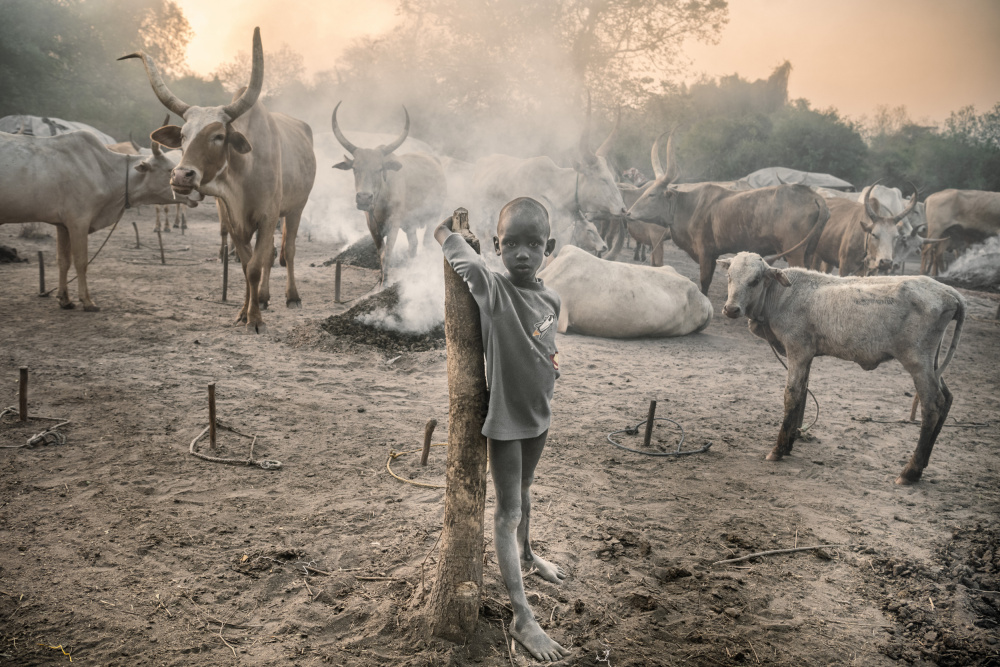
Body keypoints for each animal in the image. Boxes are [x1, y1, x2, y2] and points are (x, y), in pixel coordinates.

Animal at [0, 131, 186, 310]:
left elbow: (64, 261)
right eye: (170, 170)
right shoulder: (78, 222)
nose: (192, 190)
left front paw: (65, 300)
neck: (104, 171)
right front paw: (87, 301)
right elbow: (81, 261)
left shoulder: (63, 225)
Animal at [122, 28, 317, 333]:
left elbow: (255, 266)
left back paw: (292, 297)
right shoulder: (233, 219)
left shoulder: (268, 217)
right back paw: (263, 298)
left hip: (296, 207)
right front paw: (244, 312)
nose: (181, 175)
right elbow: (248, 266)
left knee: (289, 249)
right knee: (271, 254)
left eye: (219, 136)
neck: (243, 175)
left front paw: (255, 321)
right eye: (183, 135)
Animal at [330, 102, 447, 285]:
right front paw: (381, 279)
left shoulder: (394, 222)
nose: (364, 198)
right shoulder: (371, 224)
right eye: (355, 168)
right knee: (413, 244)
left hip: (433, 216)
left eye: (379, 169)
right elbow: (381, 252)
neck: (381, 200)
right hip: (410, 224)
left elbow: (388, 252)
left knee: (426, 243)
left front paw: (385, 282)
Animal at [627, 131, 829, 295]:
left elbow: (704, 282)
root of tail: (813, 195)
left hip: (795, 253)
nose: (628, 213)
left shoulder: (706, 252)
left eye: (652, 194)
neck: (689, 206)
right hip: (809, 252)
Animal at [718, 252, 965, 485]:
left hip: (917, 360)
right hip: (932, 361)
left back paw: (910, 472)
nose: (731, 309)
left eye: (755, 280)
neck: (781, 296)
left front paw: (778, 450)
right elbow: (803, 395)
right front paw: (789, 444)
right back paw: (922, 464)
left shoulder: (798, 349)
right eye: (729, 276)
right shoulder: (807, 354)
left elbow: (792, 395)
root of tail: (950, 292)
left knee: (932, 406)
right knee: (947, 399)